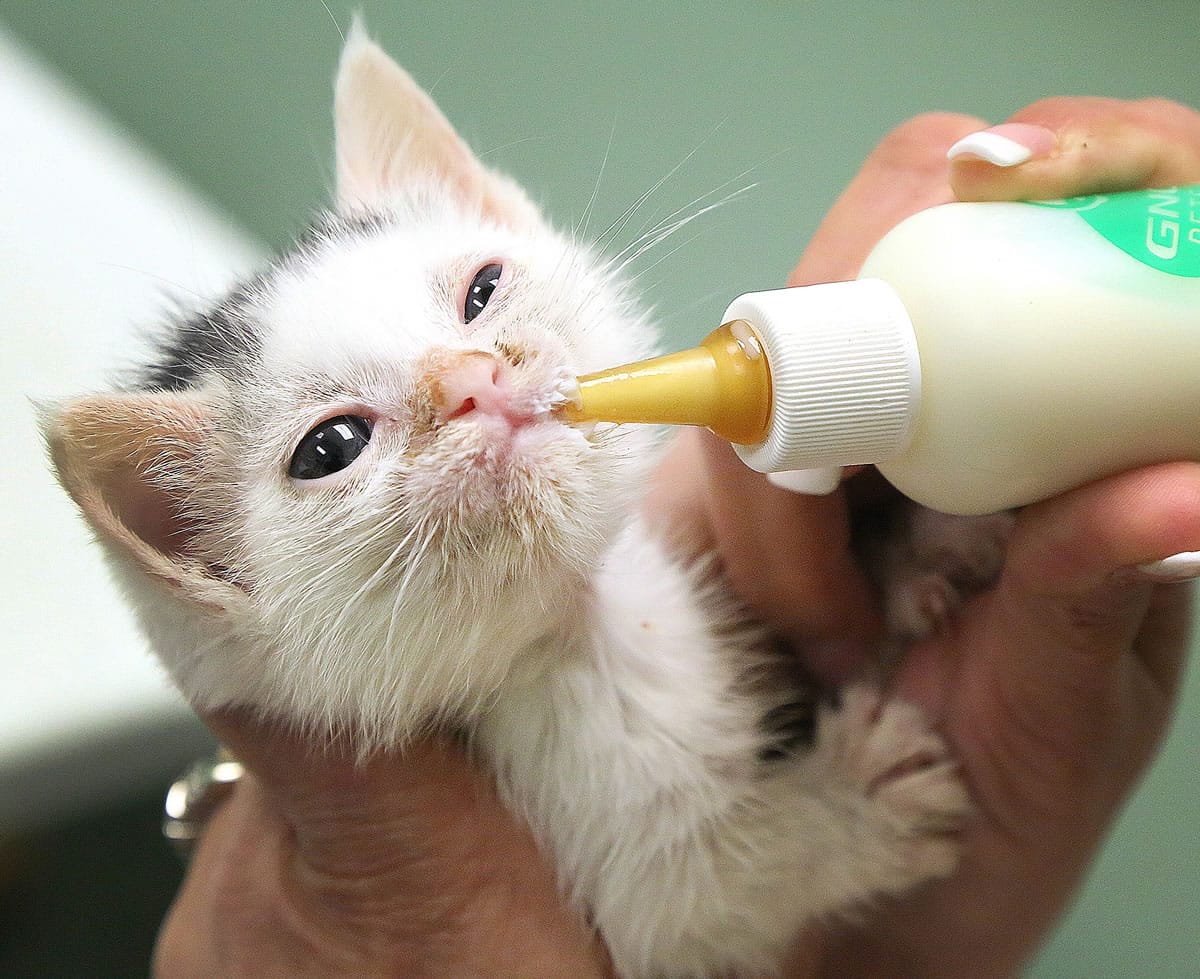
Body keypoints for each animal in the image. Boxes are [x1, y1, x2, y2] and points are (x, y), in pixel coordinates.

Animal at [44, 22, 1003, 979]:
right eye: (330, 448)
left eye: (483, 288)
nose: (474, 380)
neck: (585, 619)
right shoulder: (616, 867)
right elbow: (706, 896)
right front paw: (853, 800)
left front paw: (910, 550)